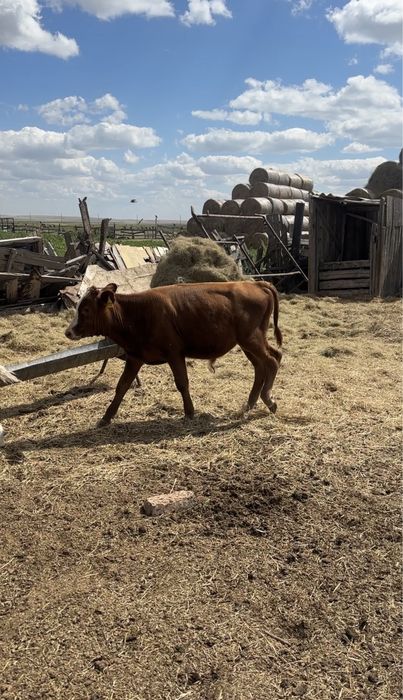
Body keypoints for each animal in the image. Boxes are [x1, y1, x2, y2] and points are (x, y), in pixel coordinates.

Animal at [65, 280, 282, 427]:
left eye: (85, 309)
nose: (68, 332)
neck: (138, 313)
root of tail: (255, 283)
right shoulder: (135, 357)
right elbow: (122, 386)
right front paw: (106, 417)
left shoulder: (174, 354)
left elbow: (182, 383)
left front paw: (189, 412)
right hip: (249, 343)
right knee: (264, 365)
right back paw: (250, 404)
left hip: (251, 340)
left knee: (271, 362)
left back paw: (268, 400)